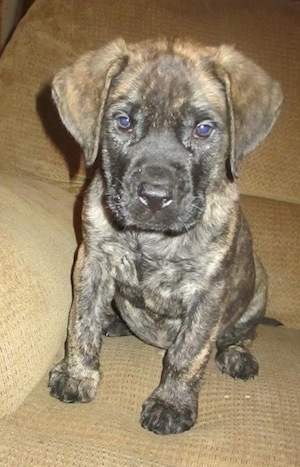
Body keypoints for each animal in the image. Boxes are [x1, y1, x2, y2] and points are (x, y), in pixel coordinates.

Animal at [48, 38, 282, 436]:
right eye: (123, 122)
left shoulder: (208, 292)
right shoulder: (93, 262)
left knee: (243, 333)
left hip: (257, 286)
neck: (153, 239)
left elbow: (188, 353)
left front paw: (171, 404)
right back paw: (115, 323)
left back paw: (238, 354)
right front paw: (77, 375)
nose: (155, 197)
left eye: (203, 129)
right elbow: (81, 321)